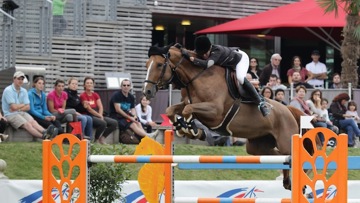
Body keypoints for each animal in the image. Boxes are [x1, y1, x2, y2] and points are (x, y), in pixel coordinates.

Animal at [142, 44, 310, 190]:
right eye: (147, 64)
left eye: (159, 65)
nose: (147, 92)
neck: (198, 77)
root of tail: (289, 110)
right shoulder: (189, 103)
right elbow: (171, 110)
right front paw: (184, 128)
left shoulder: (215, 111)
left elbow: (188, 110)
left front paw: (191, 128)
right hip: (257, 147)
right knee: (281, 158)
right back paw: (287, 181)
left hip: (285, 141)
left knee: (292, 156)